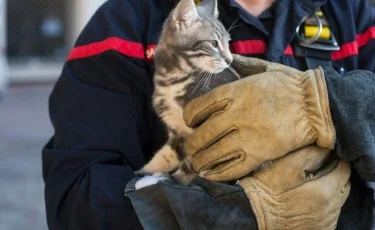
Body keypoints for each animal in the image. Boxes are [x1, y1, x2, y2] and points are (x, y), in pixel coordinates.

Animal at [138, 0, 241, 183]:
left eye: (228, 43)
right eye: (214, 43)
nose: (230, 60)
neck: (174, 80)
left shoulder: (209, 132)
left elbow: (196, 163)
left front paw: (177, 180)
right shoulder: (176, 131)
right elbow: (167, 154)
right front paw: (147, 170)